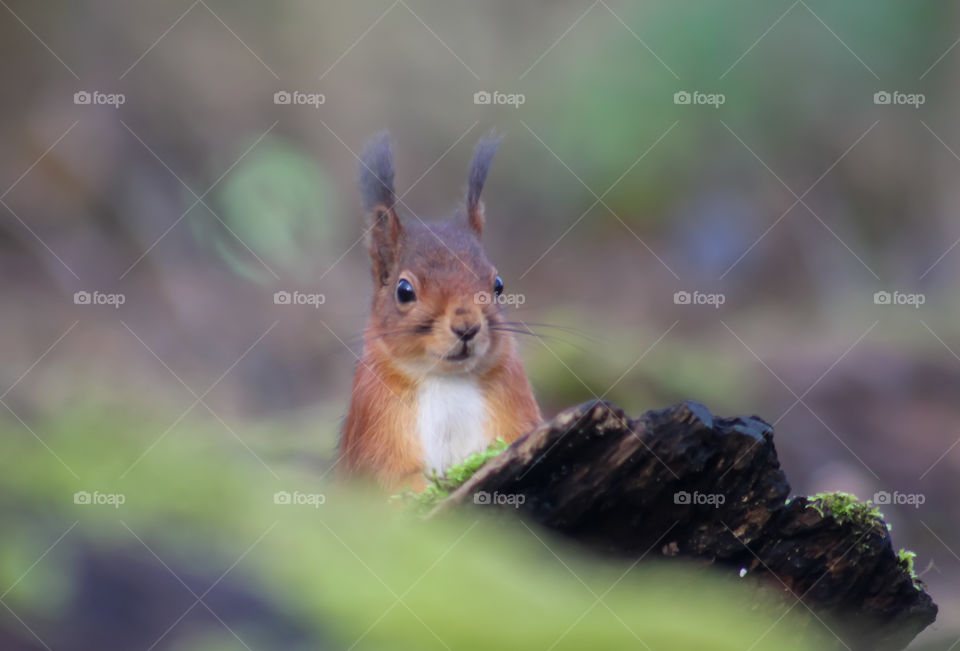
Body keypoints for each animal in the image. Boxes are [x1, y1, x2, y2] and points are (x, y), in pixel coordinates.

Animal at [338, 130, 540, 492]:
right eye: (404, 291)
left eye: (498, 284)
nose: (466, 326)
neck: (448, 380)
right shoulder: (374, 426)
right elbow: (399, 484)